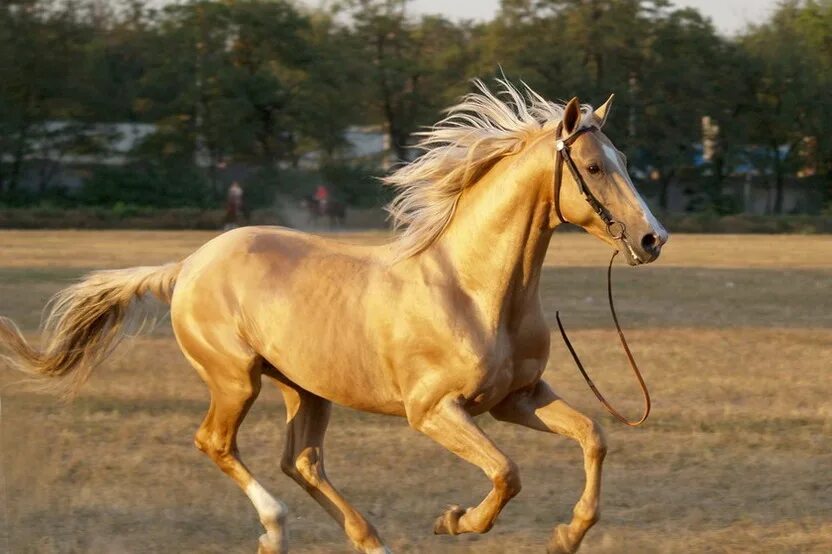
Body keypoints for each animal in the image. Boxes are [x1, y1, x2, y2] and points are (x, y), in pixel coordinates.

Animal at [0, 81, 664, 552]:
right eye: (595, 167)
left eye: (625, 159)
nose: (653, 238)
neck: (473, 291)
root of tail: (188, 264)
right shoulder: (433, 412)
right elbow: (506, 473)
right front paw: (454, 521)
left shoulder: (515, 399)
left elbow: (594, 437)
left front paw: (567, 536)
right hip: (235, 380)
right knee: (217, 443)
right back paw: (275, 529)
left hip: (305, 388)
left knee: (300, 460)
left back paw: (370, 541)